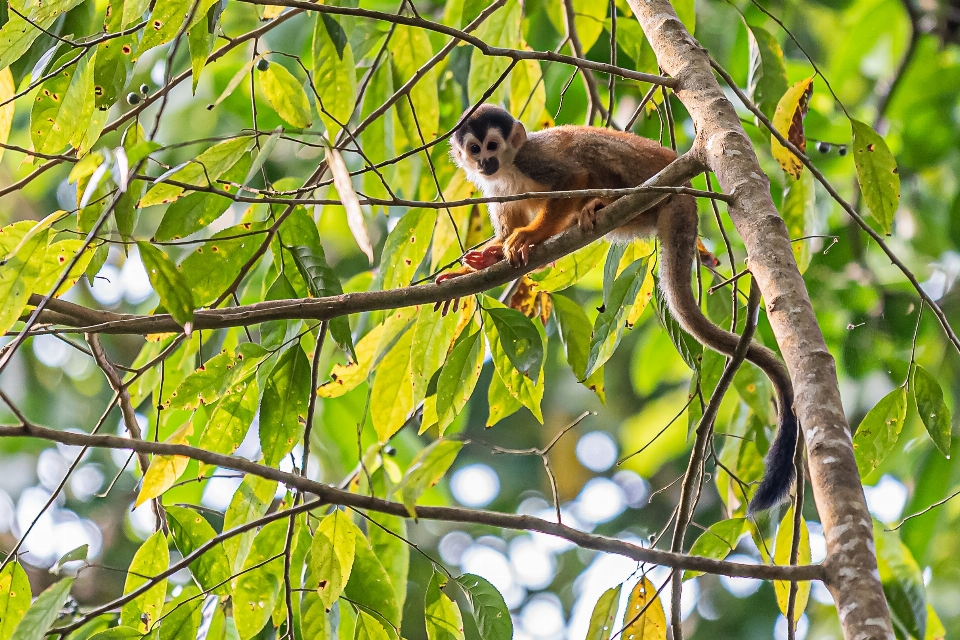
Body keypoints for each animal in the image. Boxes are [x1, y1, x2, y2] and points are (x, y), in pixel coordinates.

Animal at [438, 106, 800, 516]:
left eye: (493, 145)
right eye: (474, 149)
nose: (485, 162)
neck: (509, 169)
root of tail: (683, 196)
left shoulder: (533, 159)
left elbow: (572, 177)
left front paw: (528, 237)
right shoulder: (495, 191)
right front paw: (480, 263)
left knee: (587, 150)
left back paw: (598, 201)